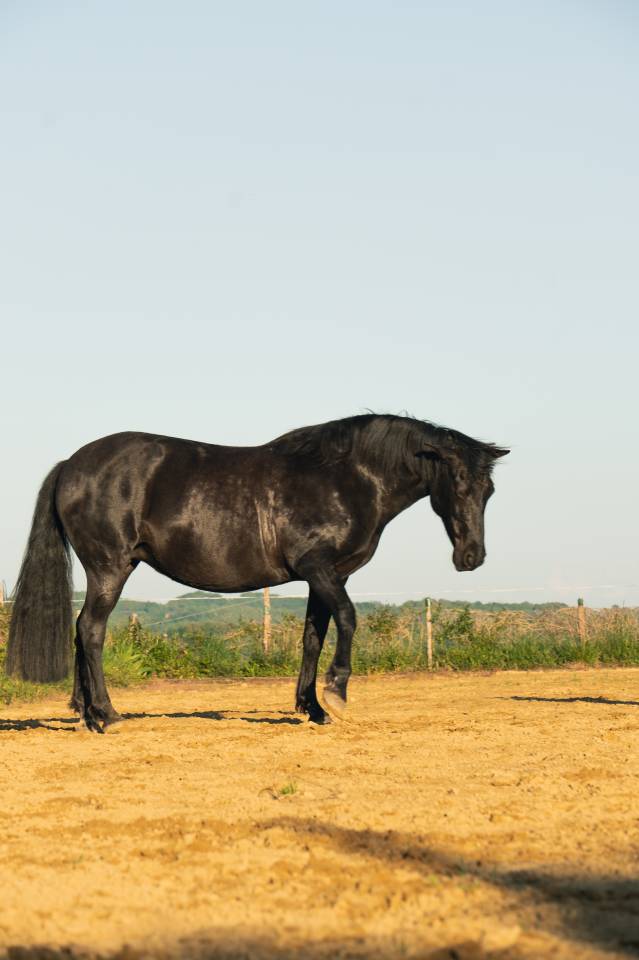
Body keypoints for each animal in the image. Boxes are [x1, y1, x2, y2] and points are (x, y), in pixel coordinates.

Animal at [6, 414, 508, 733]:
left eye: (489, 489)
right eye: (456, 483)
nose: (472, 556)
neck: (347, 478)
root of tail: (71, 465)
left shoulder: (326, 577)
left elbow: (313, 636)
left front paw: (312, 708)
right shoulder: (319, 568)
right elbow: (348, 620)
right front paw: (337, 693)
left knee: (81, 629)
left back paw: (85, 714)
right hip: (110, 567)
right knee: (91, 630)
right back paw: (108, 715)